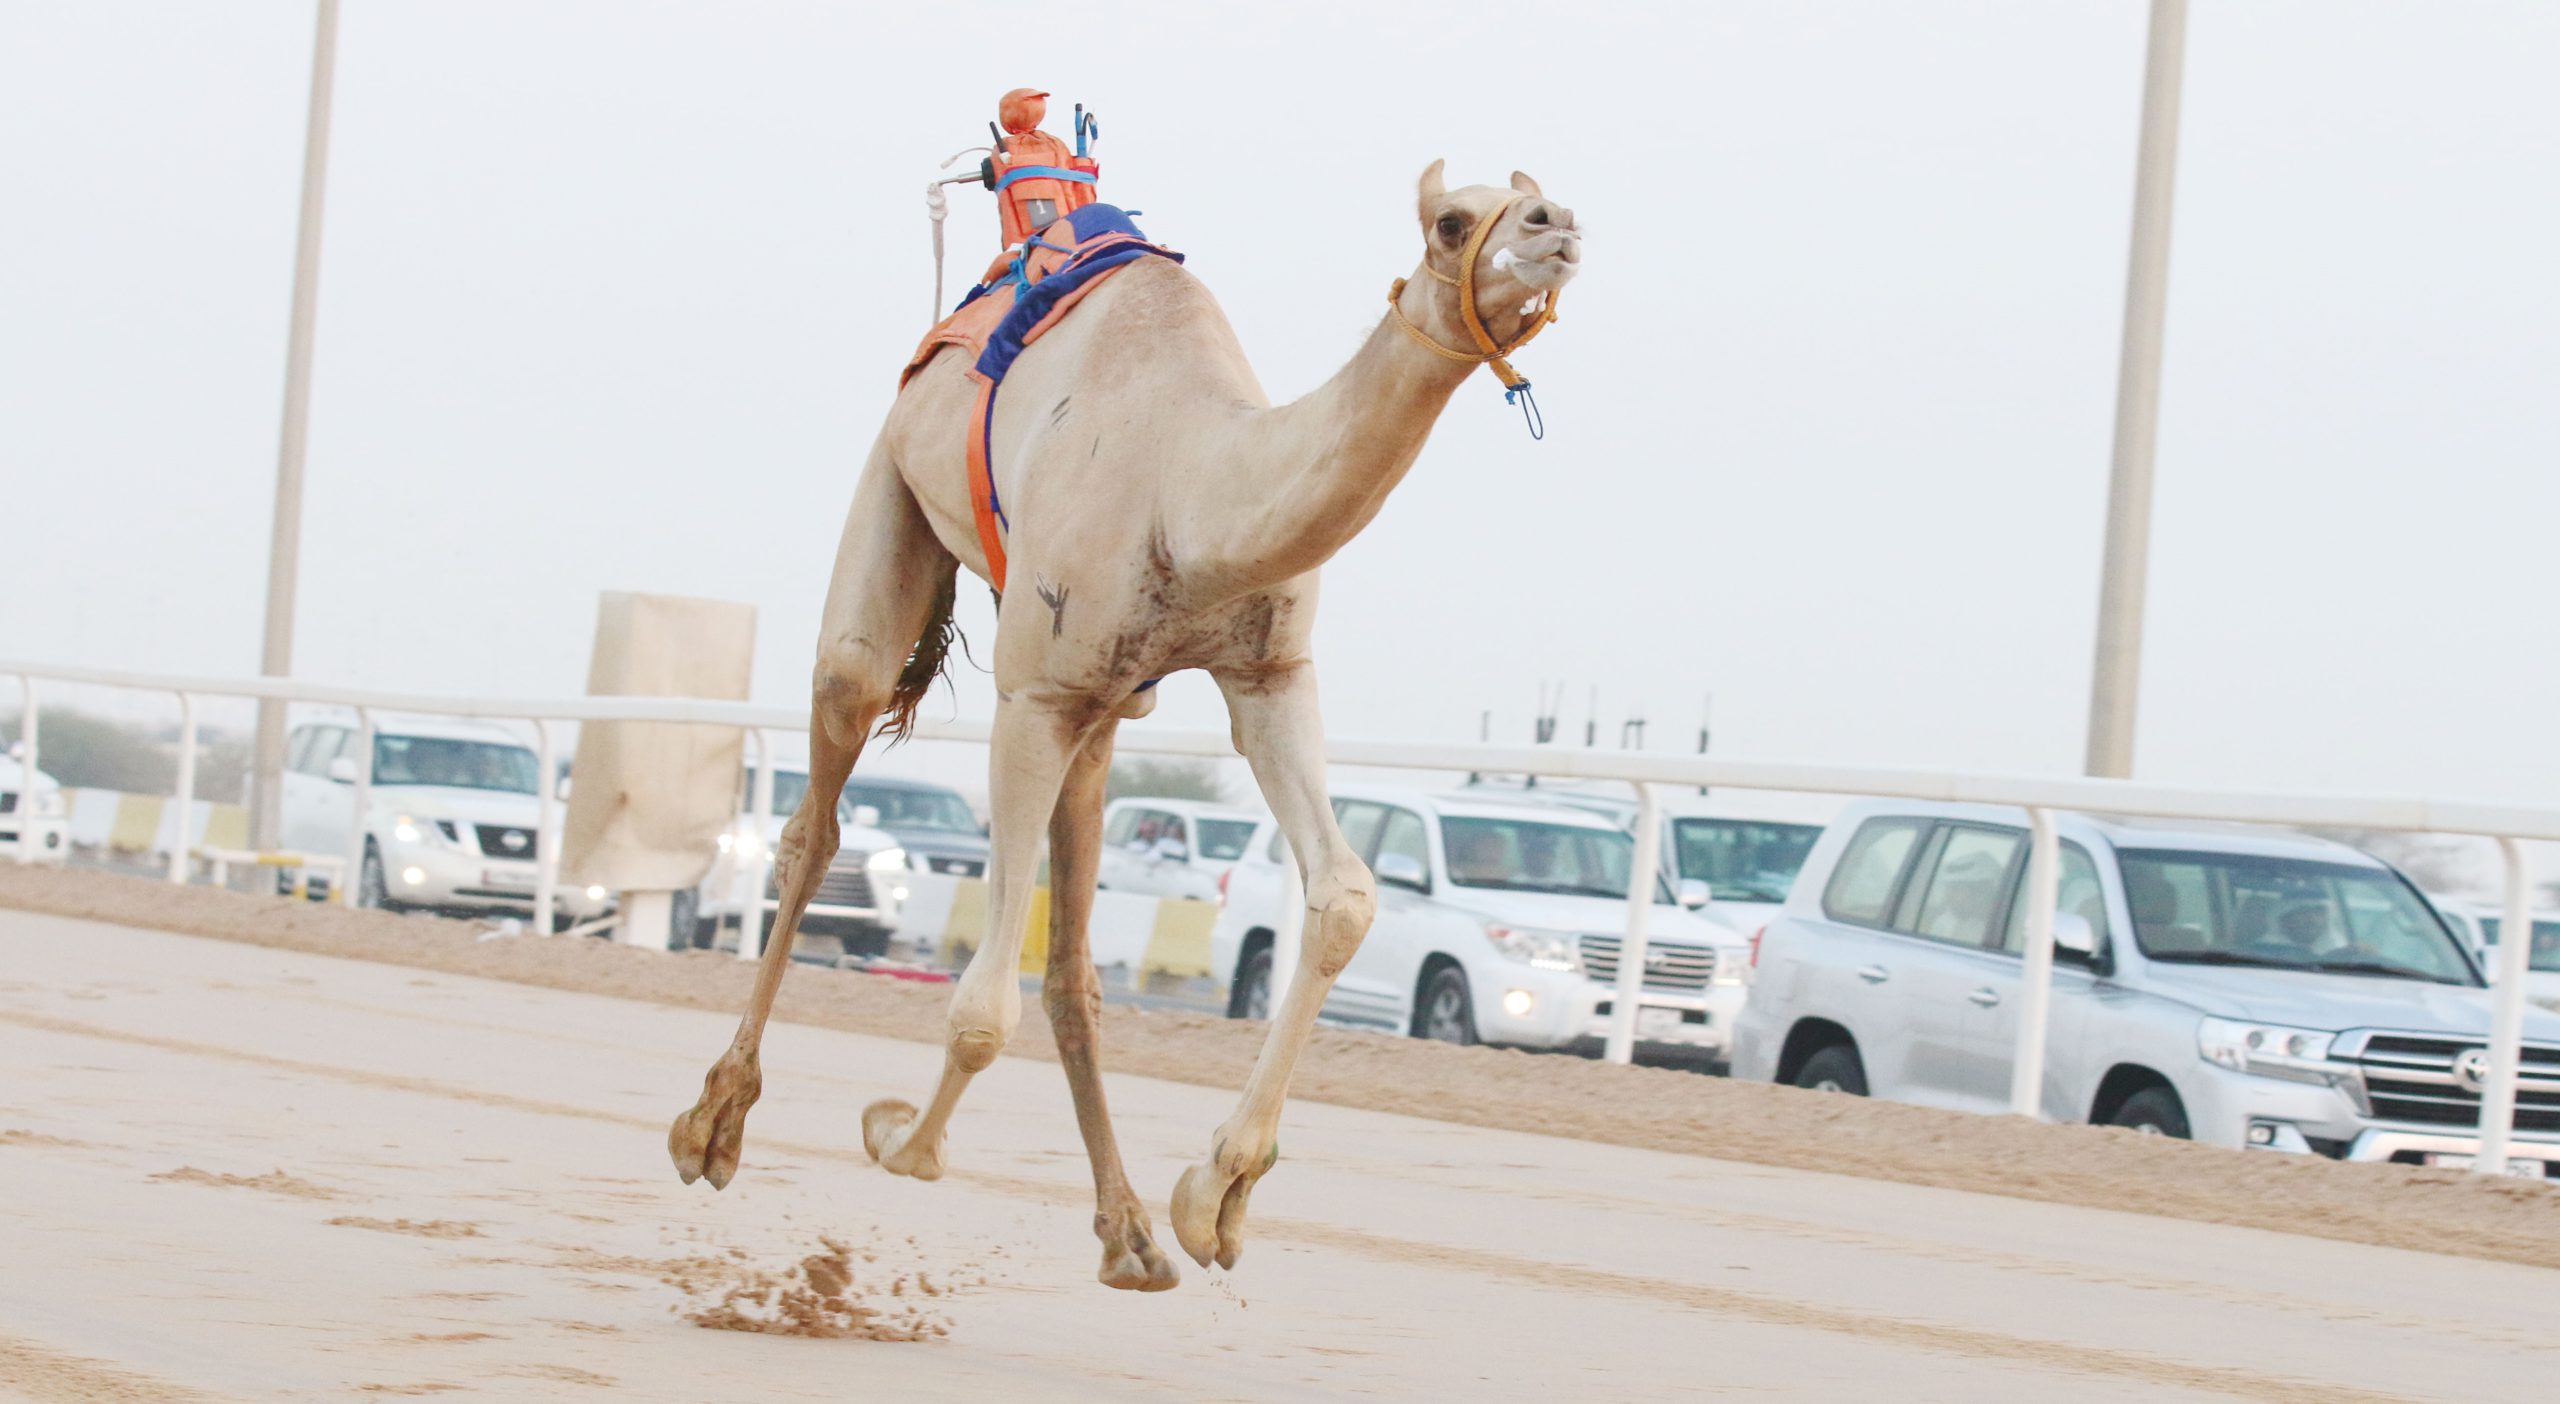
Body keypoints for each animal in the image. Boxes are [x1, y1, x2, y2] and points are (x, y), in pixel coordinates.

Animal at [665, 158, 1576, 1291]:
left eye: (1544, 198)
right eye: (1453, 221)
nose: (1556, 225)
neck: (1188, 493)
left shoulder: (1266, 675)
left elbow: (1345, 899)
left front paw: (1216, 1196)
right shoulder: (1035, 696)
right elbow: (981, 1009)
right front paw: (898, 1140)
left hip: (1104, 720)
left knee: (1072, 969)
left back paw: (1129, 1232)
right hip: (891, 503)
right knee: (823, 795)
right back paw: (713, 1124)